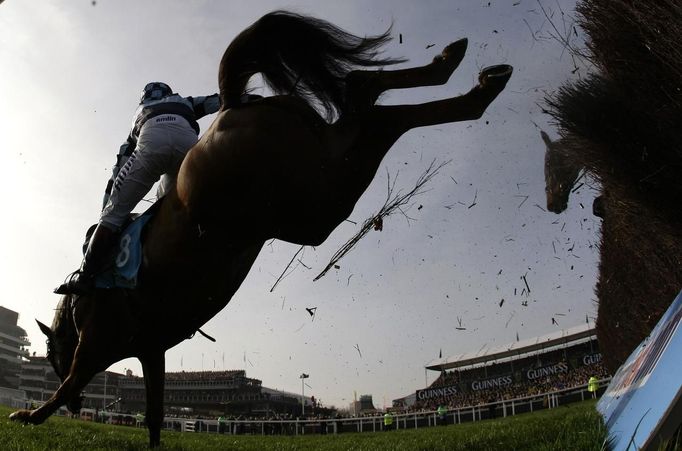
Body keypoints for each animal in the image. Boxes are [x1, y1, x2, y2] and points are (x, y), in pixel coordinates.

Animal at [10, 10, 510, 448]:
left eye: (49, 355)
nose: (81, 409)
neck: (86, 301)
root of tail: (232, 104)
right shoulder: (152, 349)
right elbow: (152, 412)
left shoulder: (96, 343)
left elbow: (72, 381)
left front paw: (29, 414)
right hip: (320, 178)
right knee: (366, 99)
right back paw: (468, 75)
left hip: (311, 207)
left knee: (369, 107)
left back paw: (469, 79)